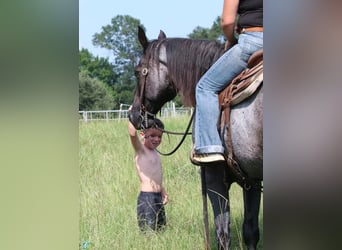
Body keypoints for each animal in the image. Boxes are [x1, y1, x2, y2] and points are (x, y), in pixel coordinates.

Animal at [130, 26, 264, 250]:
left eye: (138, 71)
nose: (132, 115)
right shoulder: (251, 178)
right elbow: (250, 231)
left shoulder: (214, 175)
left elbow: (222, 233)